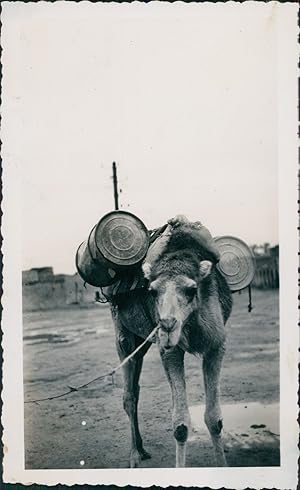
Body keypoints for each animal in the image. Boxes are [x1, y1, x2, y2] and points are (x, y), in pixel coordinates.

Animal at [110, 214, 232, 468]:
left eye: (191, 289)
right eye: (152, 291)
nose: (167, 325)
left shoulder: (216, 346)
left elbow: (214, 419)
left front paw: (222, 465)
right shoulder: (170, 351)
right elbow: (181, 425)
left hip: (144, 340)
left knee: (135, 388)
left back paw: (142, 449)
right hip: (123, 333)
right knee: (128, 395)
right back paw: (134, 456)